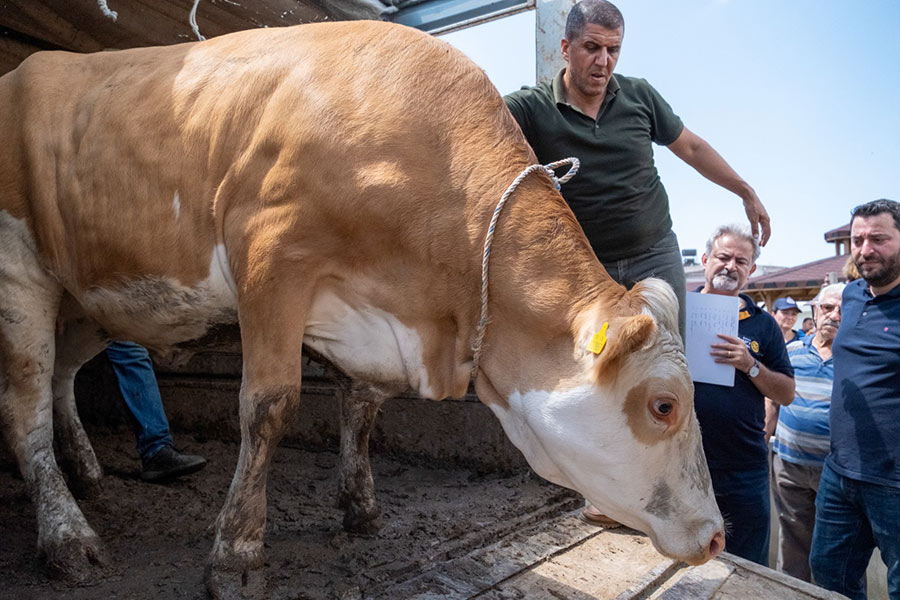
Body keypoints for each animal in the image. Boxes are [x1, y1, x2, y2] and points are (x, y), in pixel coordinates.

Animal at [0, 20, 725, 599]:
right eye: (664, 405)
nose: (718, 537)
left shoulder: (373, 319)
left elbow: (364, 406)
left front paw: (361, 506)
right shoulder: (271, 257)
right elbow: (269, 407)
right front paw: (237, 554)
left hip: (89, 298)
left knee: (61, 378)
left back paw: (87, 472)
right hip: (21, 274)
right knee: (25, 400)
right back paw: (67, 537)